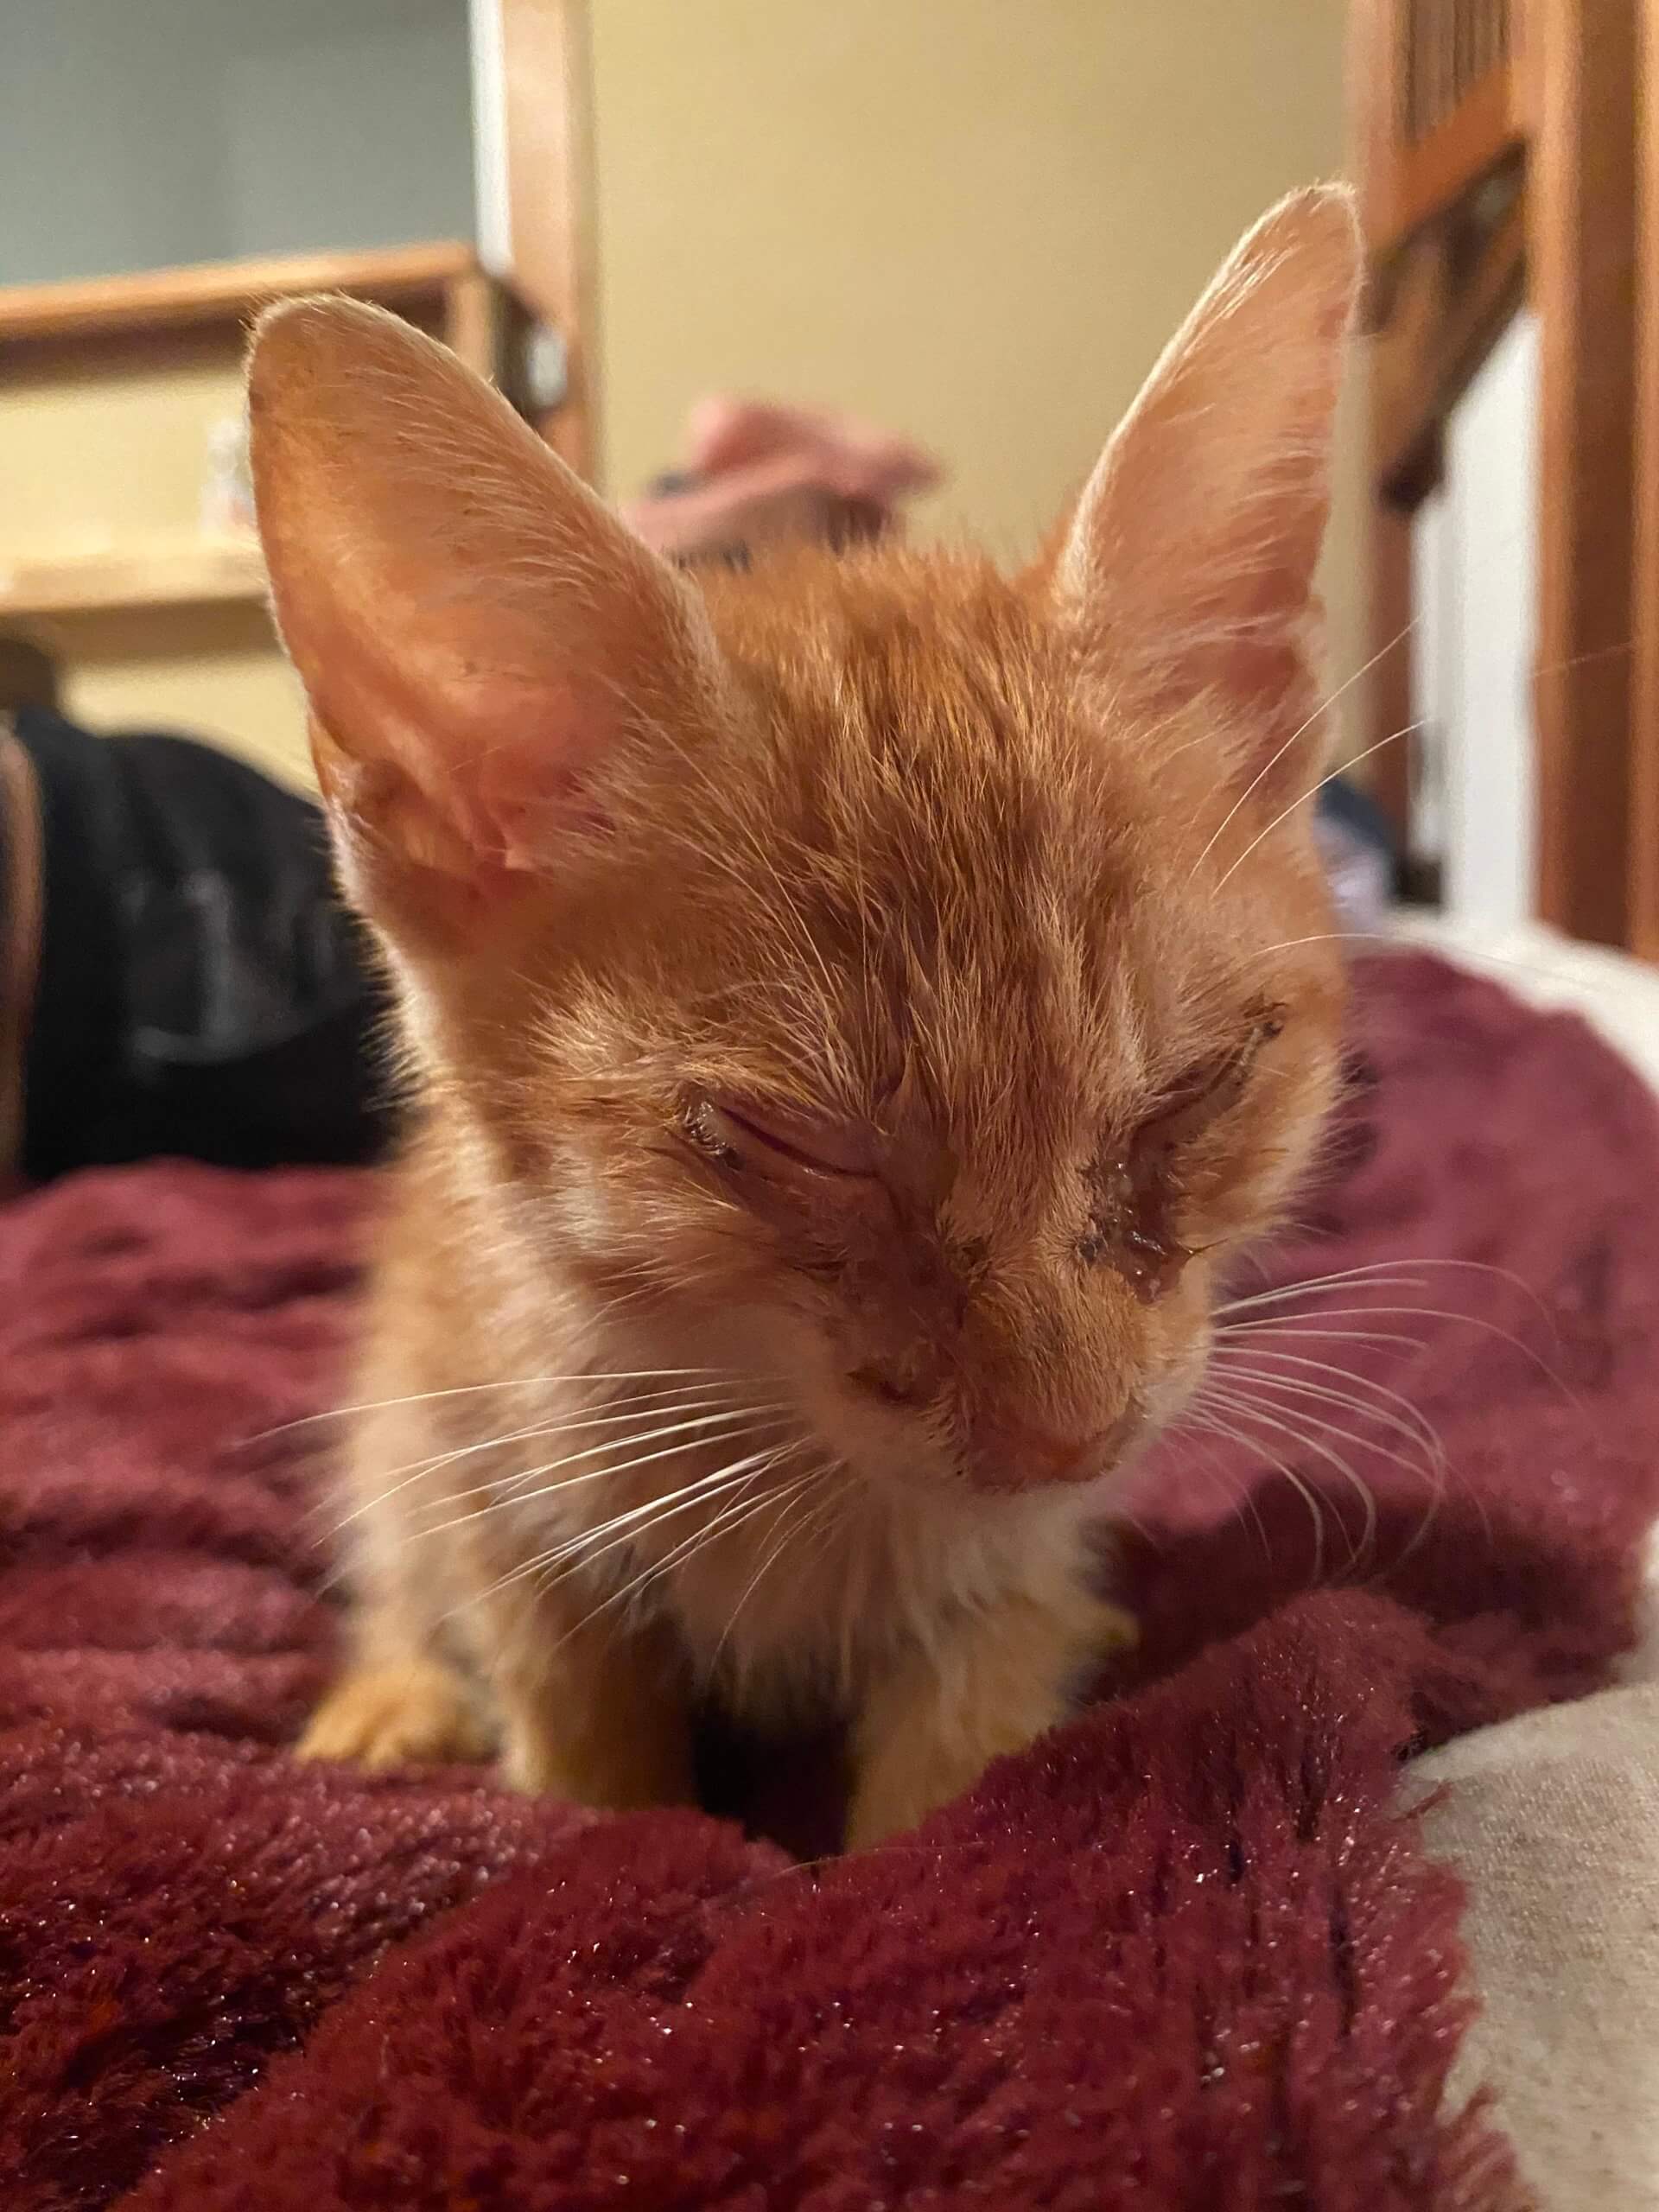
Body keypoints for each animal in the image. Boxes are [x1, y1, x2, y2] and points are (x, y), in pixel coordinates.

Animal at [251, 185, 1357, 1849]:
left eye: (1203, 1086)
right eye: (795, 1143)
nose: (1072, 1434)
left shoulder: (1010, 1569)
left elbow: (963, 1759)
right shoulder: (489, 1452)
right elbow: (573, 1713)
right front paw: (598, 1811)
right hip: (400, 1392)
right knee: (393, 1541)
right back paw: (394, 1689)